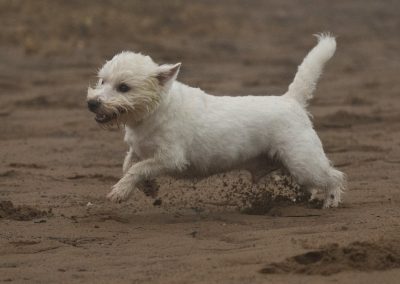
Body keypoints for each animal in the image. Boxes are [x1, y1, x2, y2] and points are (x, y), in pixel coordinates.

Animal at [86, 33, 344, 209]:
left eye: (124, 87)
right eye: (102, 81)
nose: (92, 103)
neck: (153, 112)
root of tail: (291, 100)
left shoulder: (171, 158)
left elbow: (137, 169)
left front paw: (120, 191)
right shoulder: (139, 149)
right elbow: (129, 165)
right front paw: (148, 187)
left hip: (303, 161)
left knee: (334, 176)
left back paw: (331, 200)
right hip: (293, 165)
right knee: (316, 182)